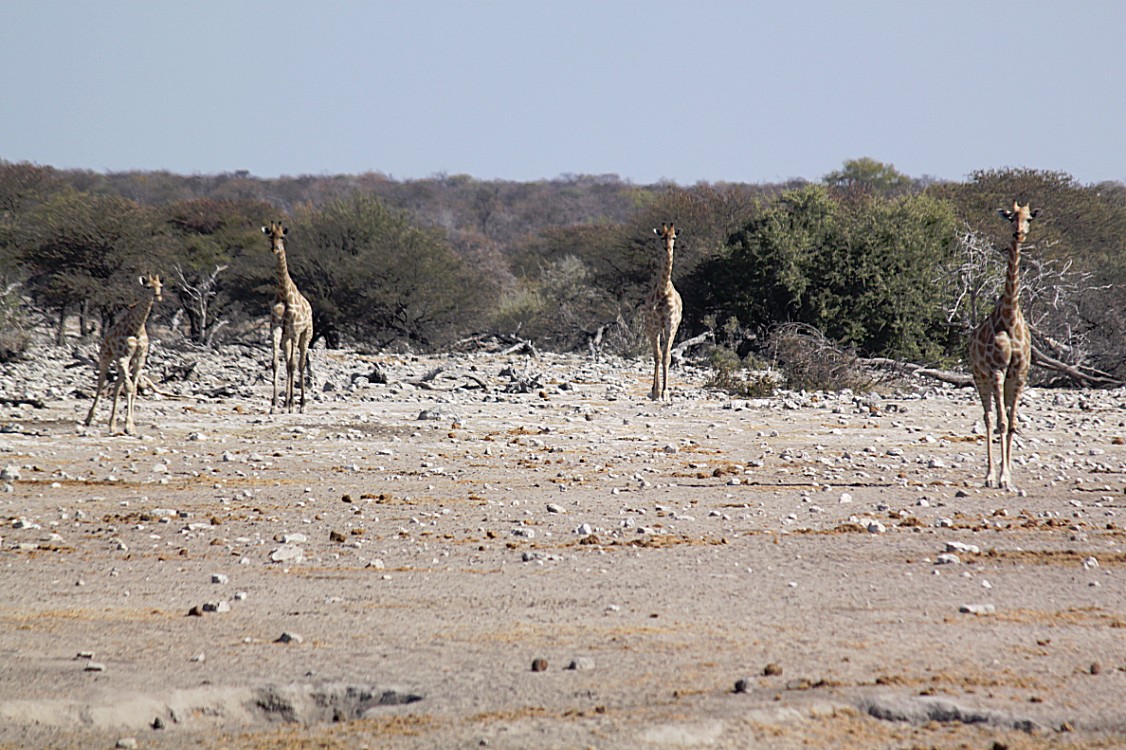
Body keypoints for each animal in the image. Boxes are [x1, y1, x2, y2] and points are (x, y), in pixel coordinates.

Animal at [84, 274, 163, 434]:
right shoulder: (123, 358)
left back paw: (112, 425)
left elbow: (133, 390)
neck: (136, 328)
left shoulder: (138, 361)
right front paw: (128, 426)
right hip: (106, 357)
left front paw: (130, 426)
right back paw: (89, 419)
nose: (158, 296)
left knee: (116, 387)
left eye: (160, 286)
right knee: (101, 383)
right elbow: (130, 387)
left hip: (123, 364)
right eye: (148, 287)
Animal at [262, 219, 313, 412]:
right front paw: (275, 404)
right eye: (270, 236)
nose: (275, 249)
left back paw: (301, 404)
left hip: (306, 334)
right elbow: (276, 363)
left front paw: (292, 404)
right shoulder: (276, 328)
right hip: (287, 337)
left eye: (282, 237)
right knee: (289, 363)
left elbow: (293, 364)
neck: (284, 294)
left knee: (300, 364)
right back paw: (287, 402)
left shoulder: (295, 330)